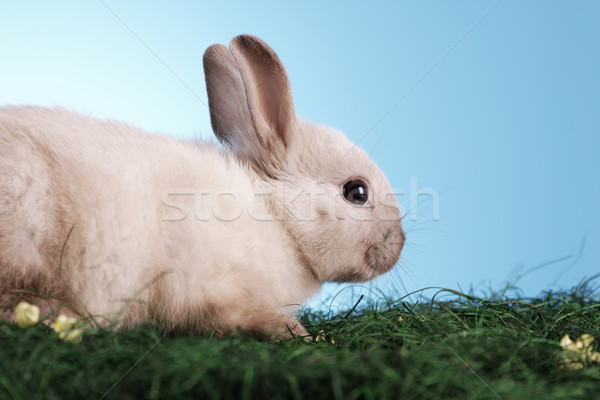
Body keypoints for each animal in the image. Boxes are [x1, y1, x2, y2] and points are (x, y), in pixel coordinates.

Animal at [0, 36, 406, 340]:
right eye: (356, 192)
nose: (399, 245)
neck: (279, 221)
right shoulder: (212, 292)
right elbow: (231, 318)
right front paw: (296, 333)